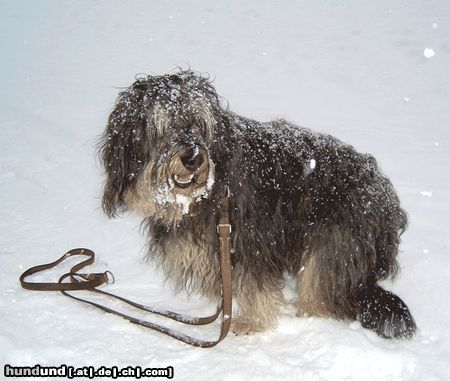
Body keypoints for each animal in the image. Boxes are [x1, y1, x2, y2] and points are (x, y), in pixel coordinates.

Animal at [100, 70, 416, 336]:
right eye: (162, 127)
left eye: (200, 124)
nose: (193, 158)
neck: (203, 196)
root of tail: (386, 201)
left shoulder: (252, 240)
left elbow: (256, 286)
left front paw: (251, 321)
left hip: (336, 240)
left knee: (321, 291)